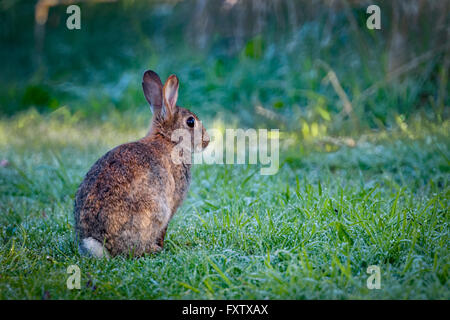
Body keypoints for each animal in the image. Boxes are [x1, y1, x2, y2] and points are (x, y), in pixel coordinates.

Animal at [74, 70, 211, 258]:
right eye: (190, 122)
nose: (207, 141)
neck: (168, 139)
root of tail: (99, 243)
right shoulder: (172, 202)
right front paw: (162, 245)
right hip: (154, 210)